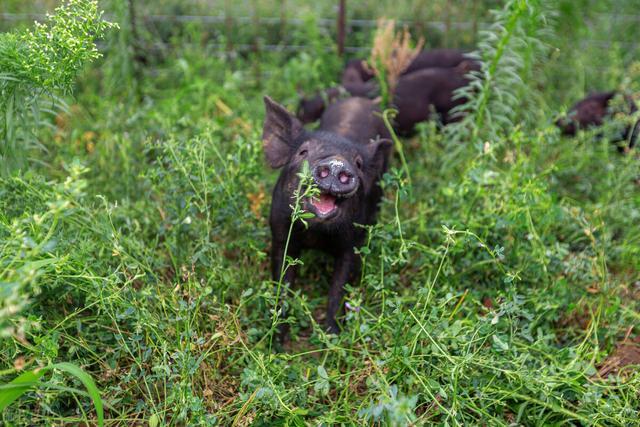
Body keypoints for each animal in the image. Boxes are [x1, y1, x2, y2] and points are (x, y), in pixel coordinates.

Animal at [262, 96, 392, 342]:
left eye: (358, 164)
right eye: (303, 151)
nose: (337, 163)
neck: (316, 235)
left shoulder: (353, 244)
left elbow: (339, 289)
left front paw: (332, 338)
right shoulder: (281, 233)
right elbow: (283, 281)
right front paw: (277, 340)